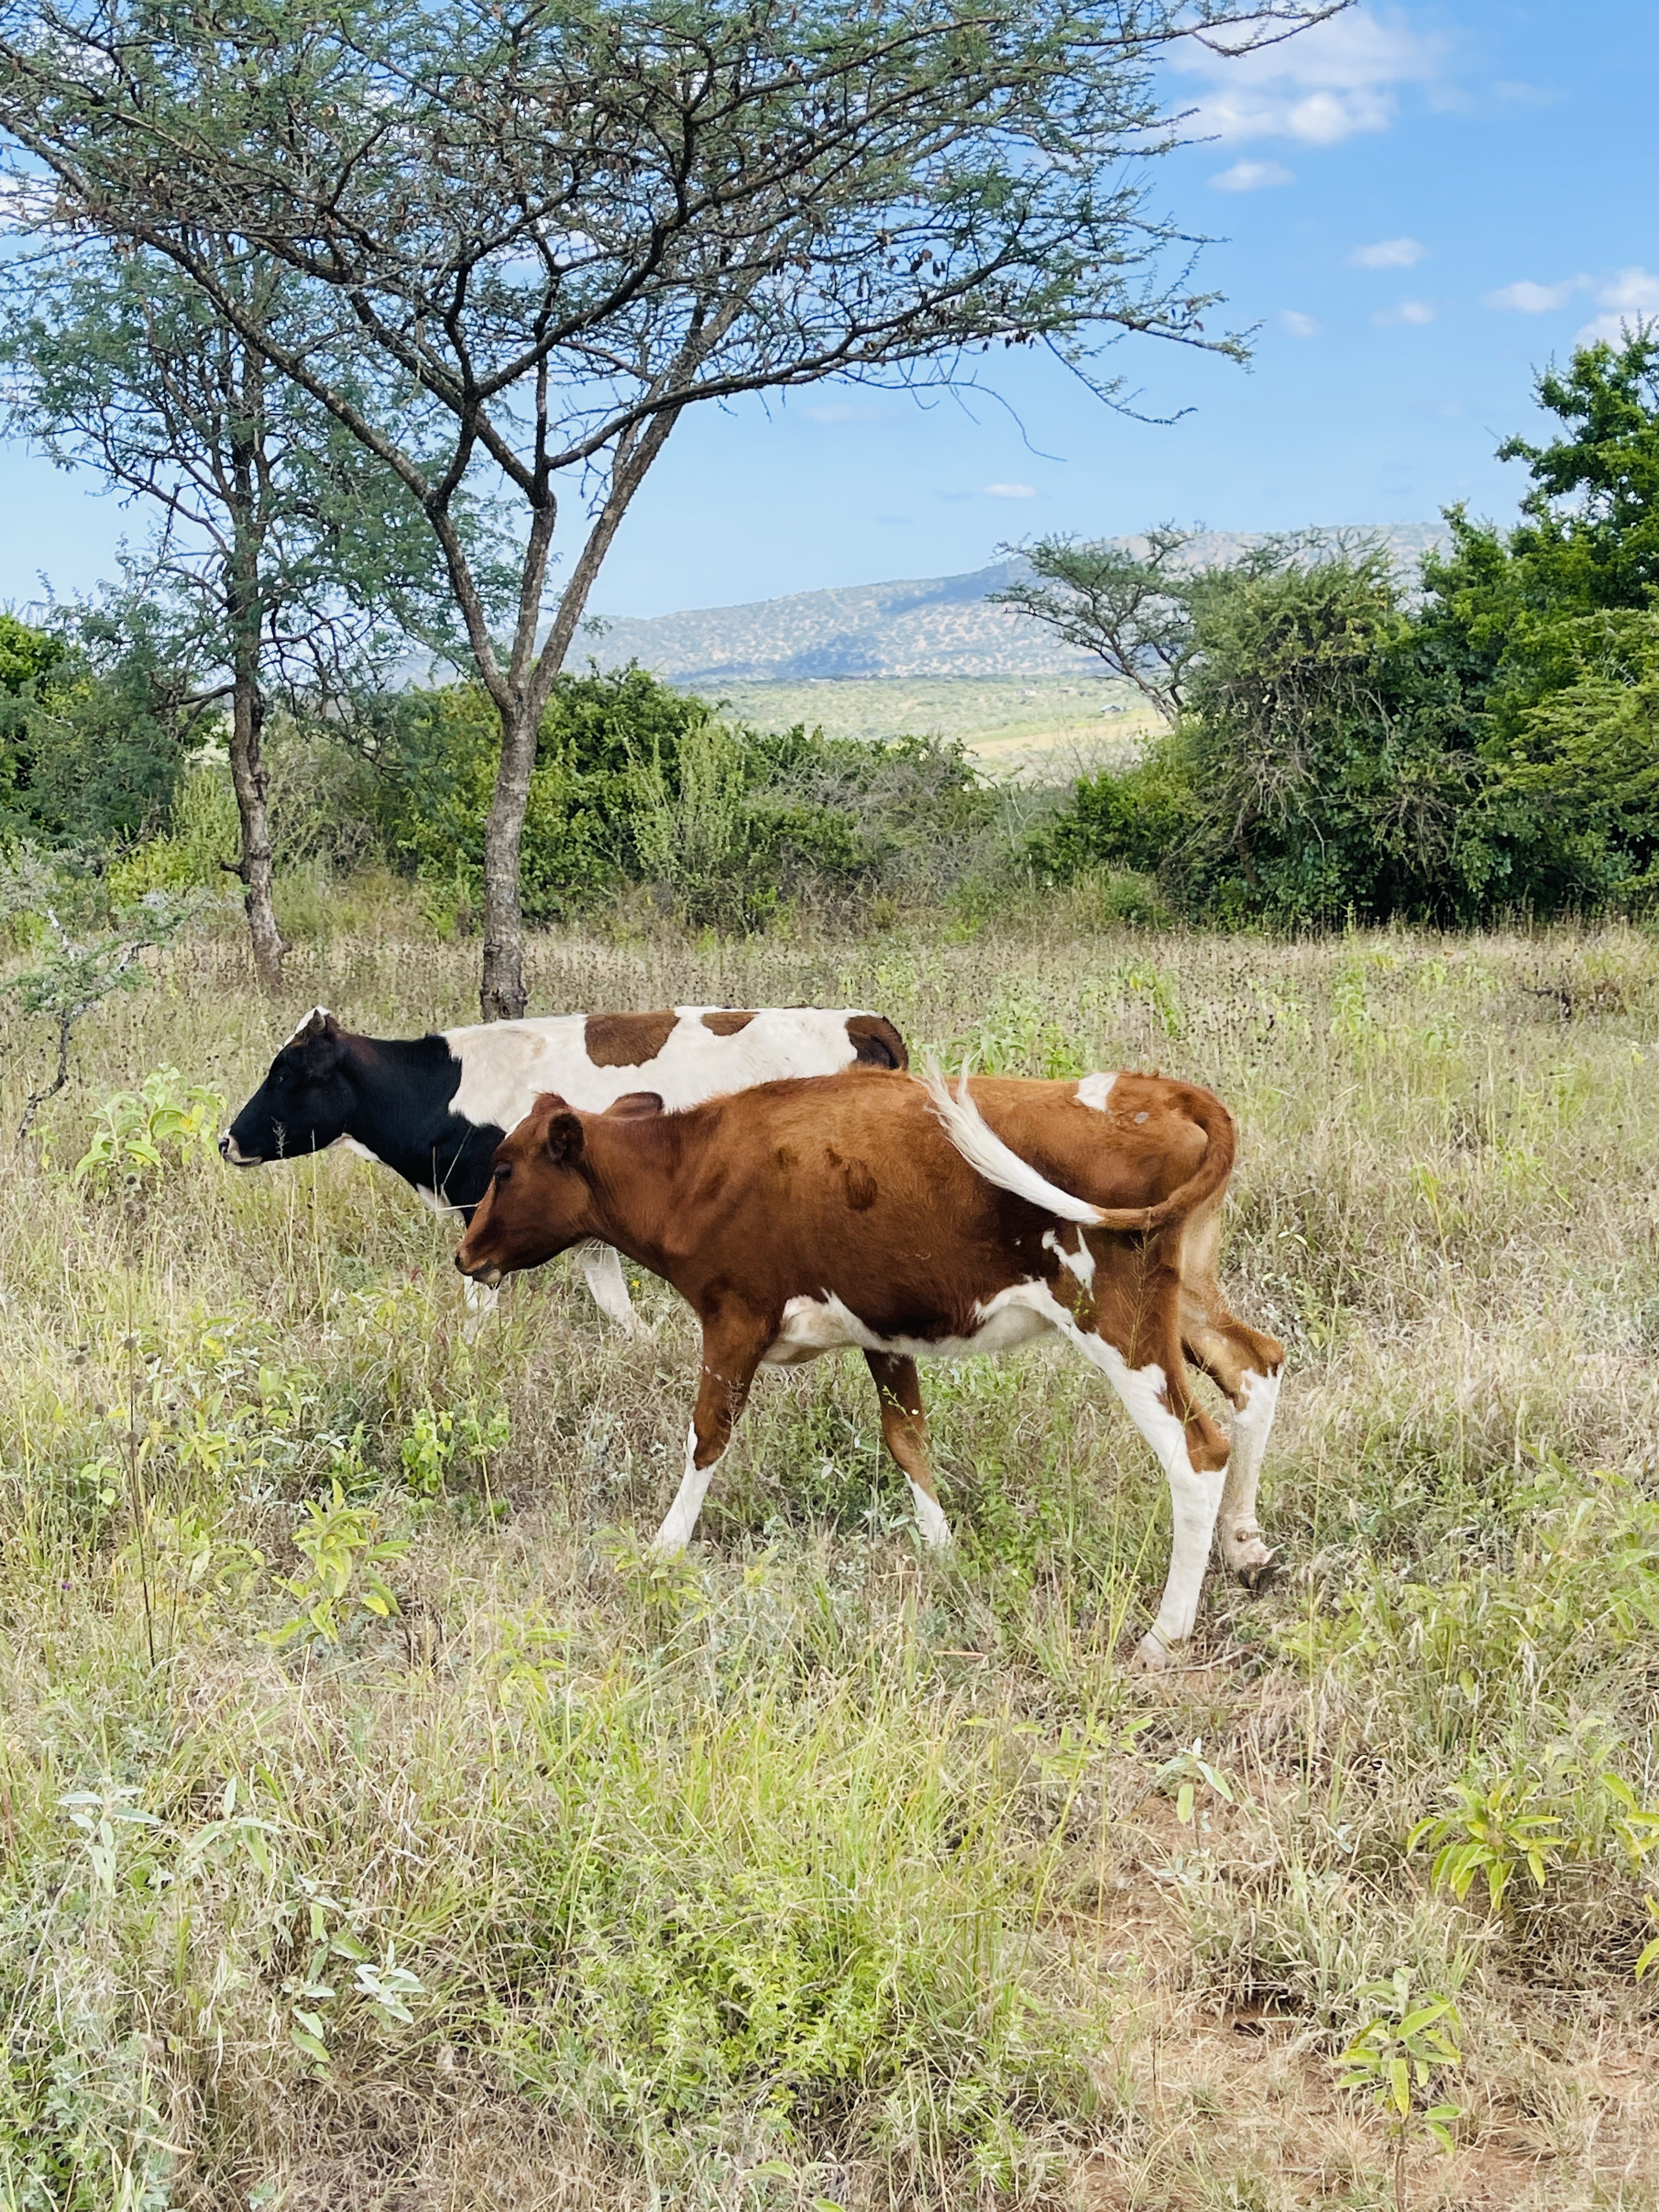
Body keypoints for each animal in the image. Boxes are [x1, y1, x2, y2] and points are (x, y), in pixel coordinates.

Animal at [220, 1004, 908, 1327]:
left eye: (286, 1073)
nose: (226, 1140)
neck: (444, 1085)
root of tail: (861, 1020)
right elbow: (618, 1308)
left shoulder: (483, 1212)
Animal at [453, 1063, 1285, 1669]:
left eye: (503, 1167)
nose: (464, 1253)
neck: (693, 1171)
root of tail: (1160, 1089)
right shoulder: (882, 1327)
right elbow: (906, 1437)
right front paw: (943, 1549)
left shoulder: (735, 1318)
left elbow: (707, 1435)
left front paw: (663, 1550)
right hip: (1186, 1297)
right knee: (1258, 1365)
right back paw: (1246, 1547)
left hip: (1115, 1314)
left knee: (1196, 1451)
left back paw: (1164, 1635)